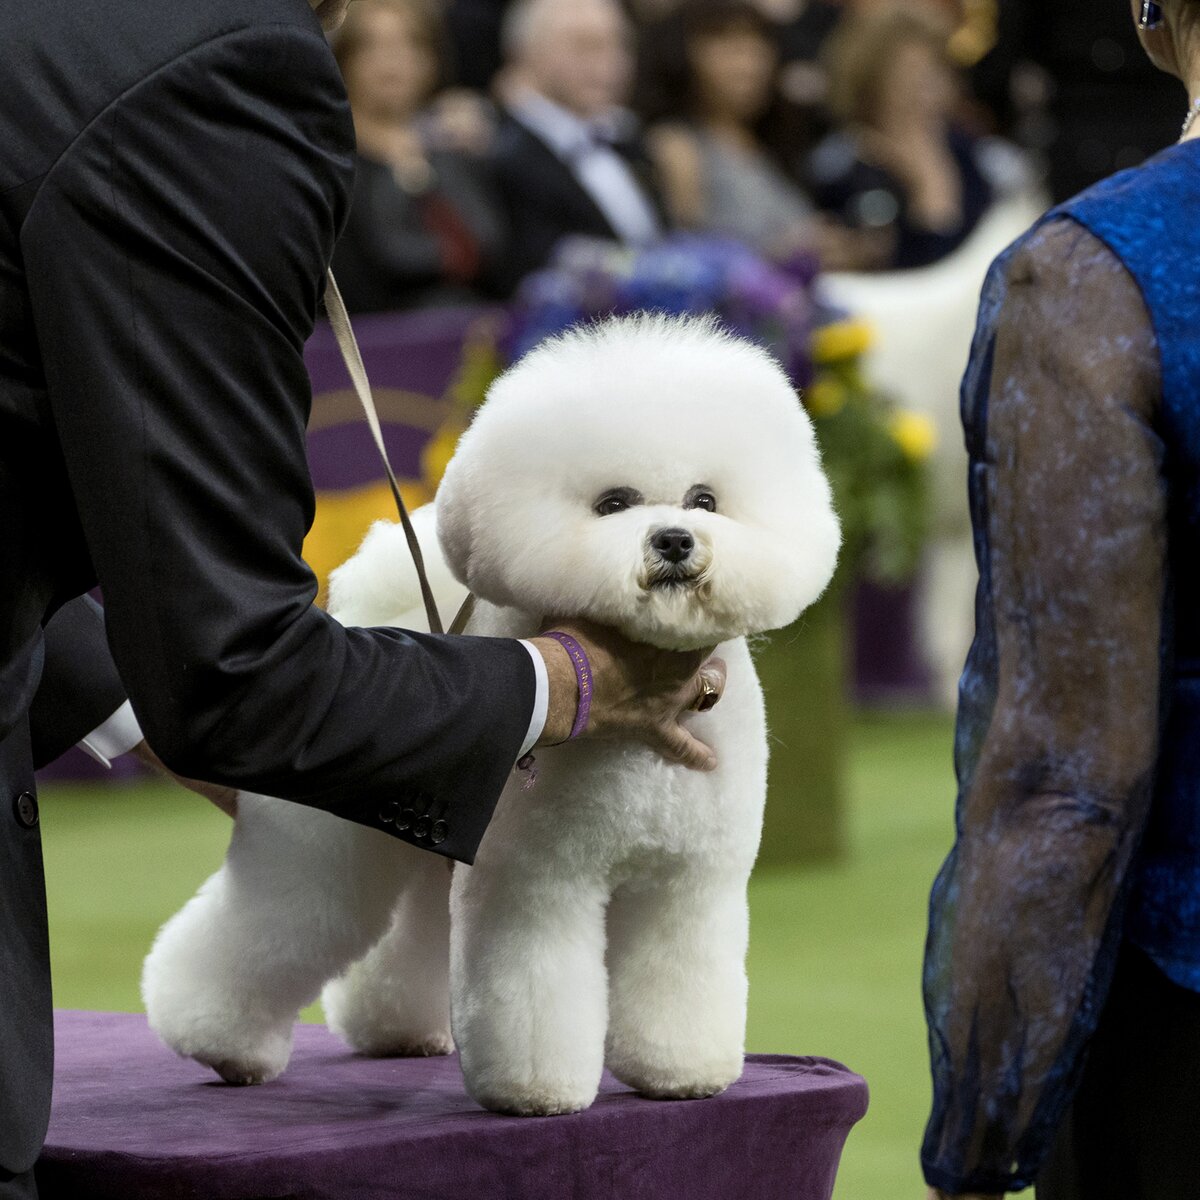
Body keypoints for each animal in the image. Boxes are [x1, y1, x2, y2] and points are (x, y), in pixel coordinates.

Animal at [142, 312, 835, 1113]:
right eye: (613, 503)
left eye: (705, 499)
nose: (674, 541)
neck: (635, 751)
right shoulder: (533, 884)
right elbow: (534, 990)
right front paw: (534, 1092)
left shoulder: (688, 883)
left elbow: (678, 981)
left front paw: (681, 1072)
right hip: (324, 849)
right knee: (270, 926)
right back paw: (217, 1039)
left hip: (429, 847)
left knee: (402, 938)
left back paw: (395, 1030)